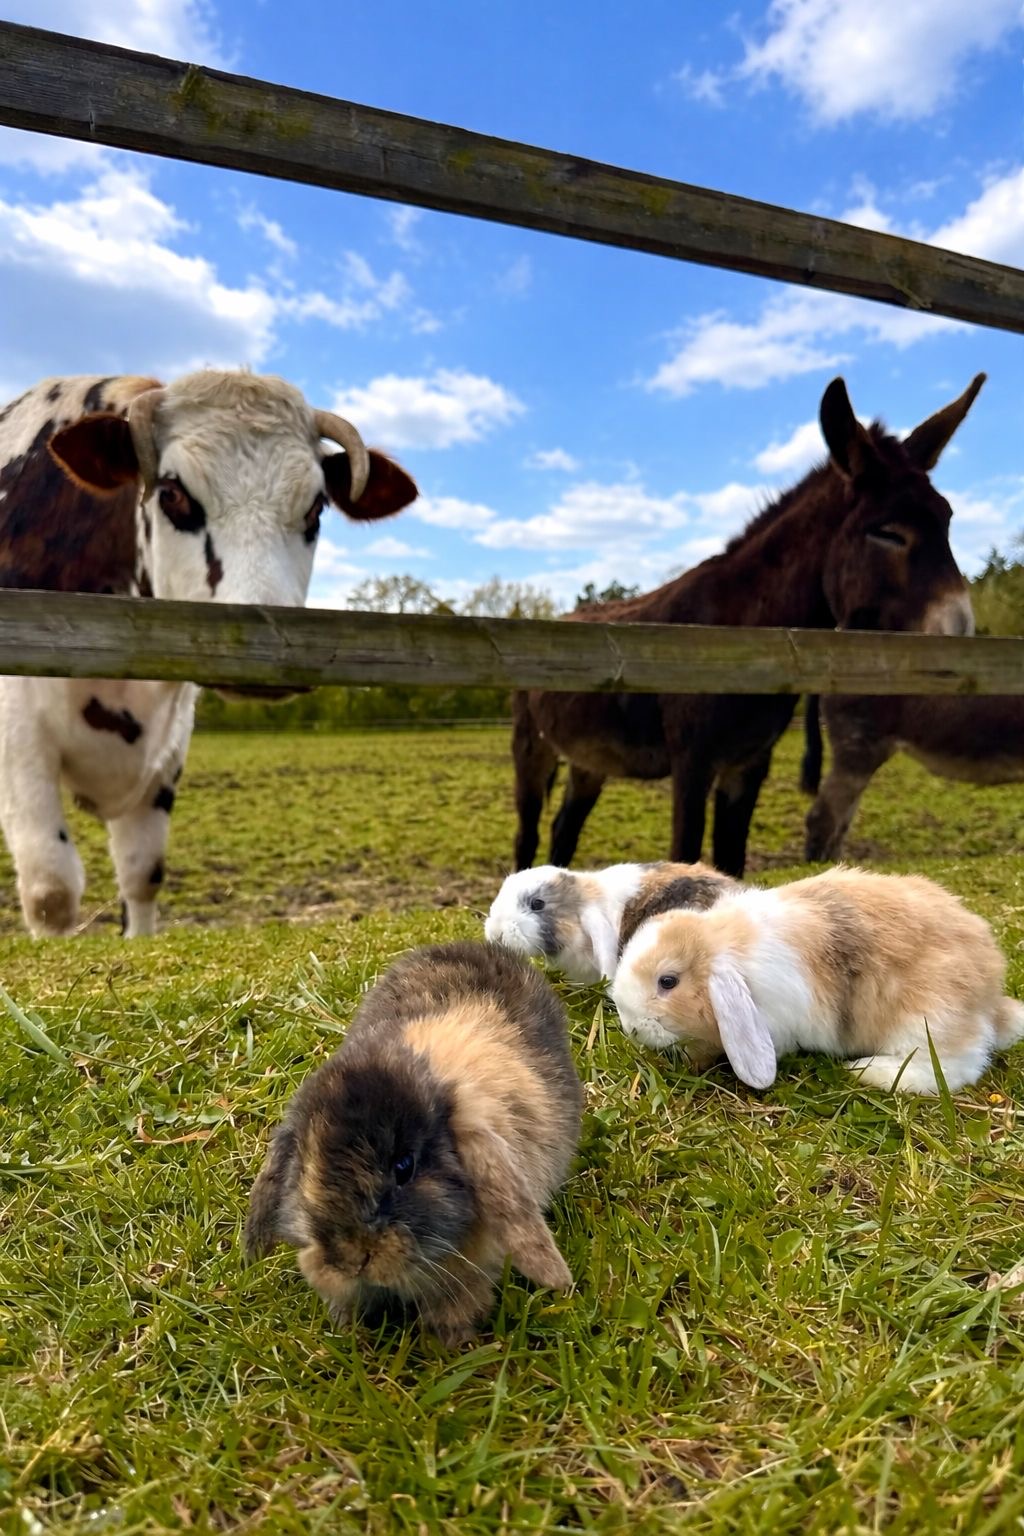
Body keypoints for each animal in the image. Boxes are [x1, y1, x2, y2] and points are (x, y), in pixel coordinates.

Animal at [0, 370, 417, 937]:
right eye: (174, 494)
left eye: (315, 507)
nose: (267, 654)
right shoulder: (17, 733)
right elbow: (51, 890)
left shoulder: (170, 740)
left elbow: (142, 875)